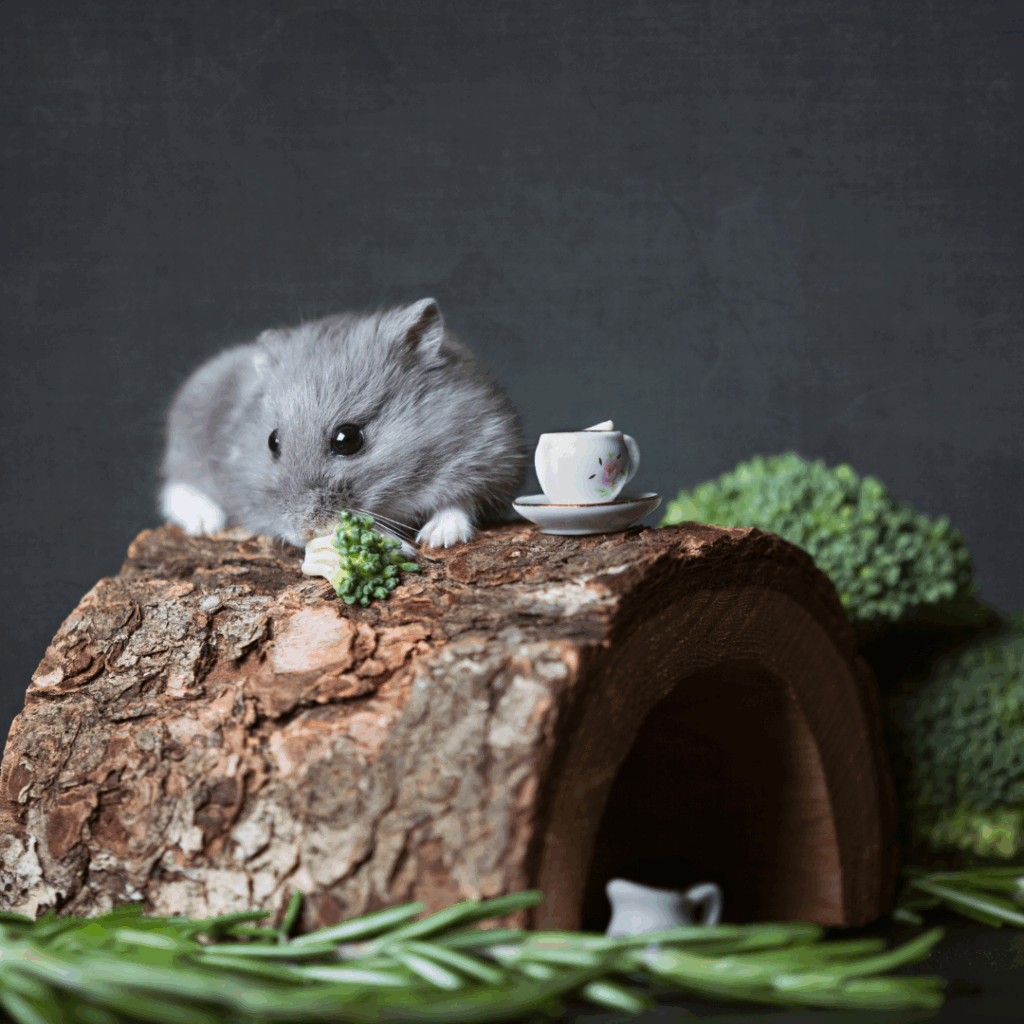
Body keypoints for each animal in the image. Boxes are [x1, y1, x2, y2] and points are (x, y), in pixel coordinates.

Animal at [158, 298, 525, 550]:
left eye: (348, 439)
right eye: (272, 441)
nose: (304, 532)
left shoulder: (490, 454)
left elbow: (460, 502)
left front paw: (437, 539)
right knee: (176, 487)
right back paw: (206, 522)